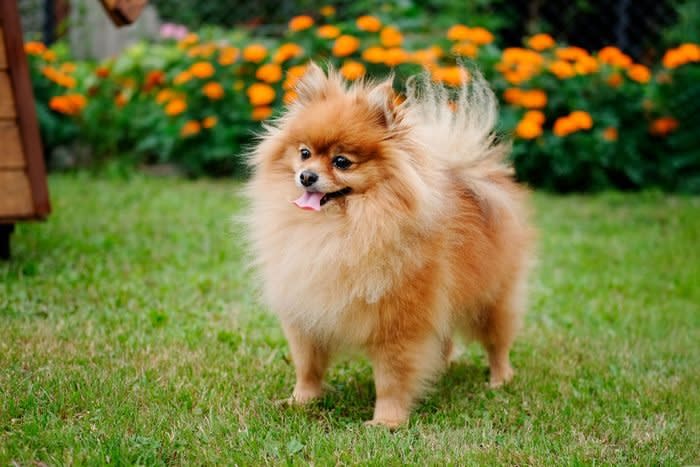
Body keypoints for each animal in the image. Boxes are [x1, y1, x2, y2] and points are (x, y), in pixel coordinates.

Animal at [243, 64, 532, 430]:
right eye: (304, 153)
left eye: (342, 162)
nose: (306, 176)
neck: (338, 230)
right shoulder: (305, 313)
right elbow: (307, 365)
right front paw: (300, 401)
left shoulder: (399, 324)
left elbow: (392, 379)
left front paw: (386, 422)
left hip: (493, 299)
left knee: (498, 342)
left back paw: (499, 379)